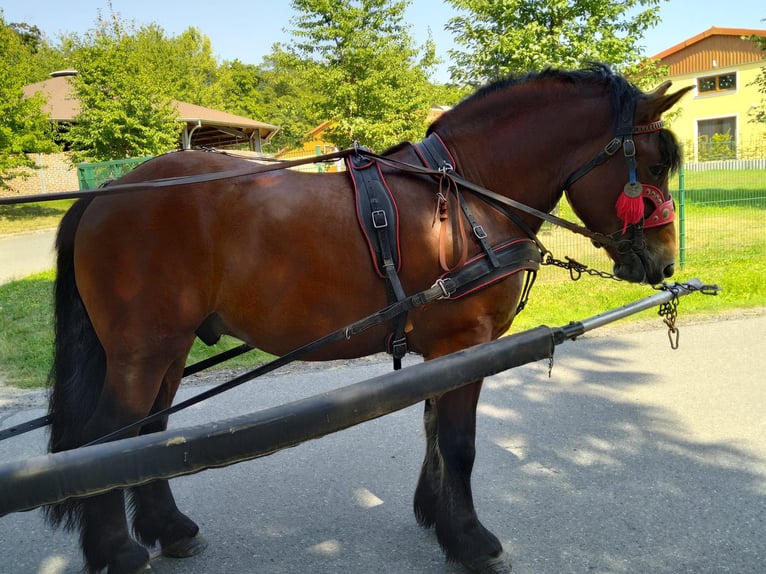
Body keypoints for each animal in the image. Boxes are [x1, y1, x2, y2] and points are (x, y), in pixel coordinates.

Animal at [45, 65, 692, 572]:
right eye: (655, 165)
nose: (664, 262)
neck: (466, 197)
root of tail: (103, 194)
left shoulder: (442, 349)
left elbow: (433, 430)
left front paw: (437, 517)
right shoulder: (465, 343)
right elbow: (458, 442)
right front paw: (471, 541)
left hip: (169, 349)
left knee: (148, 434)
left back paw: (169, 529)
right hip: (142, 349)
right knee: (108, 438)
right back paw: (118, 551)